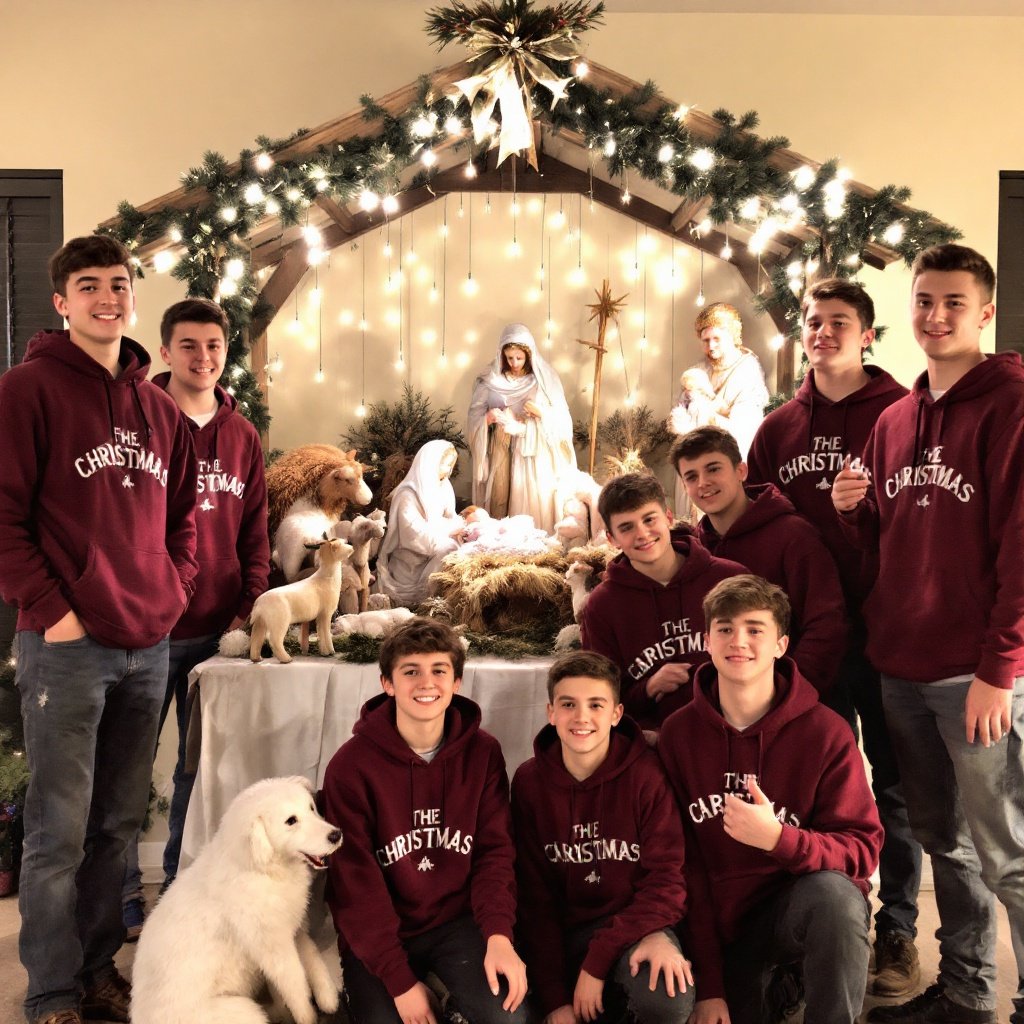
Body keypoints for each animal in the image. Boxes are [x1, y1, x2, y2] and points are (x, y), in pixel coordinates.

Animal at [131, 774, 344, 1024]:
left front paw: (328, 997)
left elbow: (312, 958)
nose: (336, 835)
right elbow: (296, 987)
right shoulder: (276, 950)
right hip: (244, 1010)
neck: (260, 869)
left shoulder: (293, 930)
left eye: (311, 808)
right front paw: (309, 1016)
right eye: (291, 821)